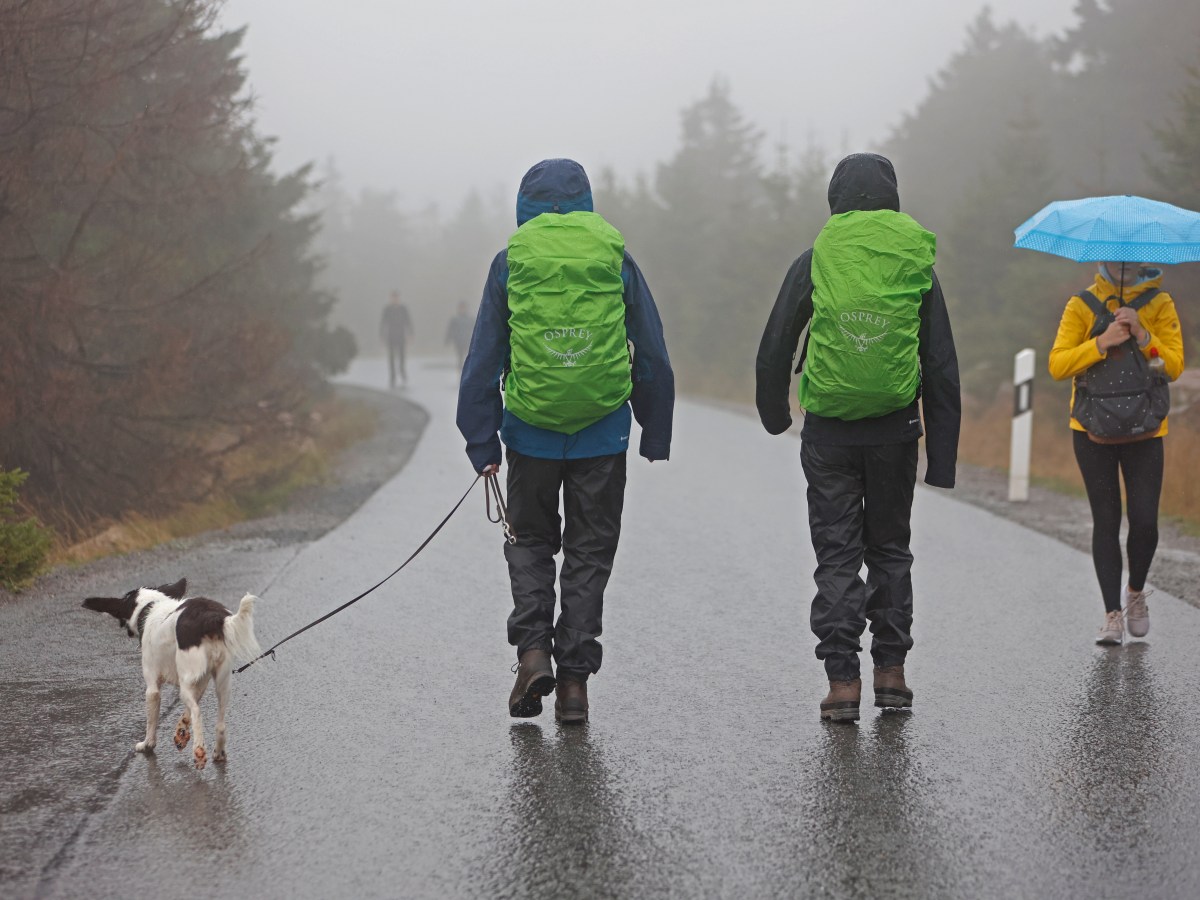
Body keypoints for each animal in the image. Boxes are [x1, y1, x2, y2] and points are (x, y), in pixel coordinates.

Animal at [85, 580, 262, 772]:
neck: (150, 607)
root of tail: (213, 618)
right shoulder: (200, 682)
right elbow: (187, 712)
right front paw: (181, 732)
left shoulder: (153, 689)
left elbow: (152, 723)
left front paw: (147, 744)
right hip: (222, 681)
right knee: (220, 724)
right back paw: (218, 753)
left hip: (188, 684)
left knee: (198, 713)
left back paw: (199, 751)